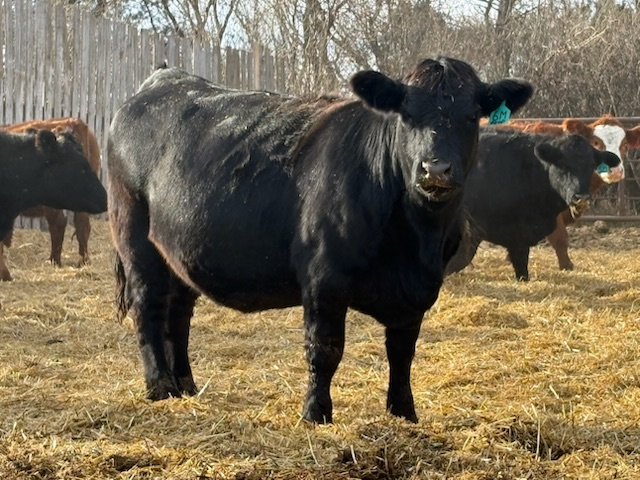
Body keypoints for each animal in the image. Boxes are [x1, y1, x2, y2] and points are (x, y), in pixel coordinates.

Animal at [107, 57, 533, 423]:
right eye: (406, 114)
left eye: (471, 116)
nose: (436, 168)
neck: (416, 240)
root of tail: (163, 77)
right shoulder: (323, 277)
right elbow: (324, 348)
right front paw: (316, 414)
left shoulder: (419, 291)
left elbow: (402, 353)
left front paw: (404, 413)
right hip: (134, 237)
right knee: (148, 307)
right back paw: (159, 386)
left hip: (178, 250)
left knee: (178, 313)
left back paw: (185, 385)